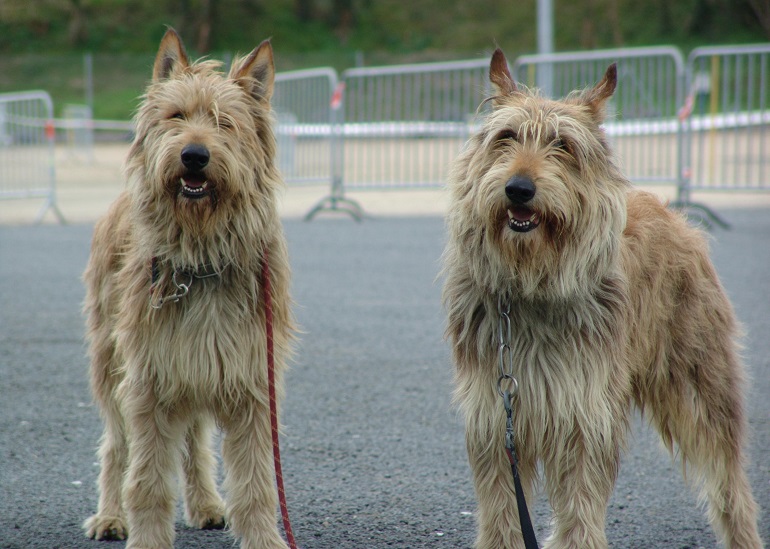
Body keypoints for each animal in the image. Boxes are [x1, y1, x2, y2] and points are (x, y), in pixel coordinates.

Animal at [82, 30, 294, 548]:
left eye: (224, 123)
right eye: (176, 116)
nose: (194, 155)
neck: (202, 257)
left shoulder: (250, 381)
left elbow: (257, 483)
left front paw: (262, 538)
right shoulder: (149, 382)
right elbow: (147, 480)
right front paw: (146, 539)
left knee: (195, 439)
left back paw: (207, 505)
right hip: (111, 365)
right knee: (116, 446)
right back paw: (109, 515)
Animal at [440, 48, 760, 548]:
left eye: (563, 145)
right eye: (506, 137)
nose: (518, 188)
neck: (533, 285)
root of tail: (674, 213)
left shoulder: (584, 416)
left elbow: (579, 508)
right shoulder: (496, 416)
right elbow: (502, 512)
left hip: (700, 387)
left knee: (729, 483)